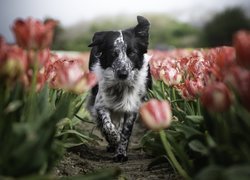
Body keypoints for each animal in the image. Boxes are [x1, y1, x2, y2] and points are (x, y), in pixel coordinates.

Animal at [87, 15, 151, 162]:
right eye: (113, 53)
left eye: (132, 53)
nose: (123, 74)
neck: (120, 86)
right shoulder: (100, 105)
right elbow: (108, 126)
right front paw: (114, 140)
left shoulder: (132, 108)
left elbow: (126, 132)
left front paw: (121, 153)